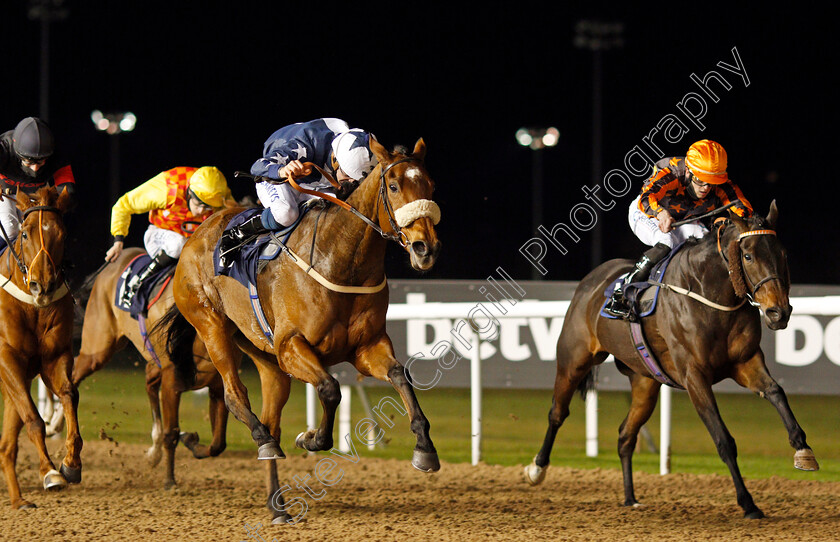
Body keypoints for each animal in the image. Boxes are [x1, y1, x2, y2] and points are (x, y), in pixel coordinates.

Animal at [0, 187, 81, 510]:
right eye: (24, 233)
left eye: (62, 233)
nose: (42, 285)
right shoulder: (6, 358)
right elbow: (33, 418)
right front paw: (49, 471)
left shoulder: (54, 357)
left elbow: (69, 395)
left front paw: (70, 464)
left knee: (7, 447)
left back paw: (19, 500)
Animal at [71, 246, 230, 488]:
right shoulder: (172, 382)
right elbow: (171, 433)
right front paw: (170, 480)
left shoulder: (218, 386)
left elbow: (218, 442)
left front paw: (191, 441)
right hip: (98, 347)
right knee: (72, 377)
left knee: (149, 382)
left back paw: (154, 451)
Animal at [160, 136, 442, 524]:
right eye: (395, 185)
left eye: (430, 185)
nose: (424, 248)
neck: (340, 259)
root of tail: (195, 234)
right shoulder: (293, 346)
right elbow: (329, 389)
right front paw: (310, 438)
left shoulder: (367, 348)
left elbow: (400, 376)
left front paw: (424, 448)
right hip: (211, 325)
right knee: (235, 395)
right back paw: (259, 441)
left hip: (266, 358)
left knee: (270, 418)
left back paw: (276, 502)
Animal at [528, 202, 816, 520]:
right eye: (749, 256)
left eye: (783, 254)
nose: (779, 312)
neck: (709, 293)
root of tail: (590, 282)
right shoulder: (694, 376)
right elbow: (723, 440)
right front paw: (748, 503)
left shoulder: (745, 362)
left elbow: (776, 391)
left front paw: (803, 449)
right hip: (573, 359)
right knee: (557, 413)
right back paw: (537, 469)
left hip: (645, 382)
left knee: (625, 435)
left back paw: (630, 497)